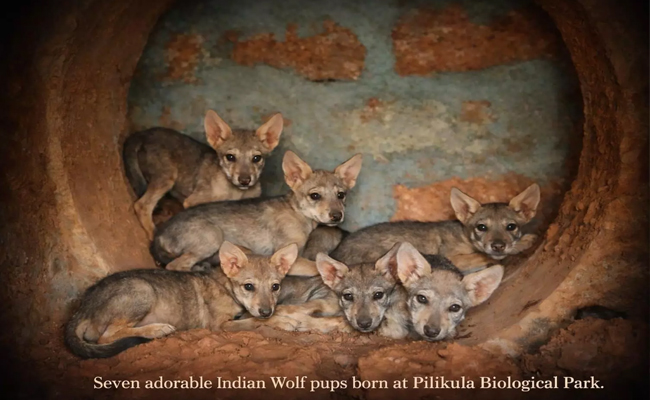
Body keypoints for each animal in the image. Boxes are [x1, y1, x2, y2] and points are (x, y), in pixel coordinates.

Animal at [64, 241, 297, 359]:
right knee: (105, 337)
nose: (266, 311)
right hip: (142, 290)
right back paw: (156, 329)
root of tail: (83, 306)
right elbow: (253, 322)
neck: (226, 287)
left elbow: (256, 316)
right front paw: (283, 322)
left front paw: (284, 315)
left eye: (275, 287)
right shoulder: (219, 325)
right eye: (249, 286)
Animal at [123, 110, 283, 239]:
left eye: (256, 158)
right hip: (166, 178)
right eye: (230, 157)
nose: (245, 180)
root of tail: (141, 134)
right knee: (142, 205)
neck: (234, 193)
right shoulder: (192, 202)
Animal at [150, 150, 363, 273]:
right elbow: (316, 267)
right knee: (174, 266)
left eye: (341, 195)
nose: (337, 216)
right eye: (315, 196)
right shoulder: (291, 258)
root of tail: (158, 235)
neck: (298, 214)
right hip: (212, 237)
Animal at [330, 184, 541, 271]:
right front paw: (523, 243)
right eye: (481, 227)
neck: (463, 236)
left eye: (511, 226)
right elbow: (483, 255)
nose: (498, 246)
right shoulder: (453, 257)